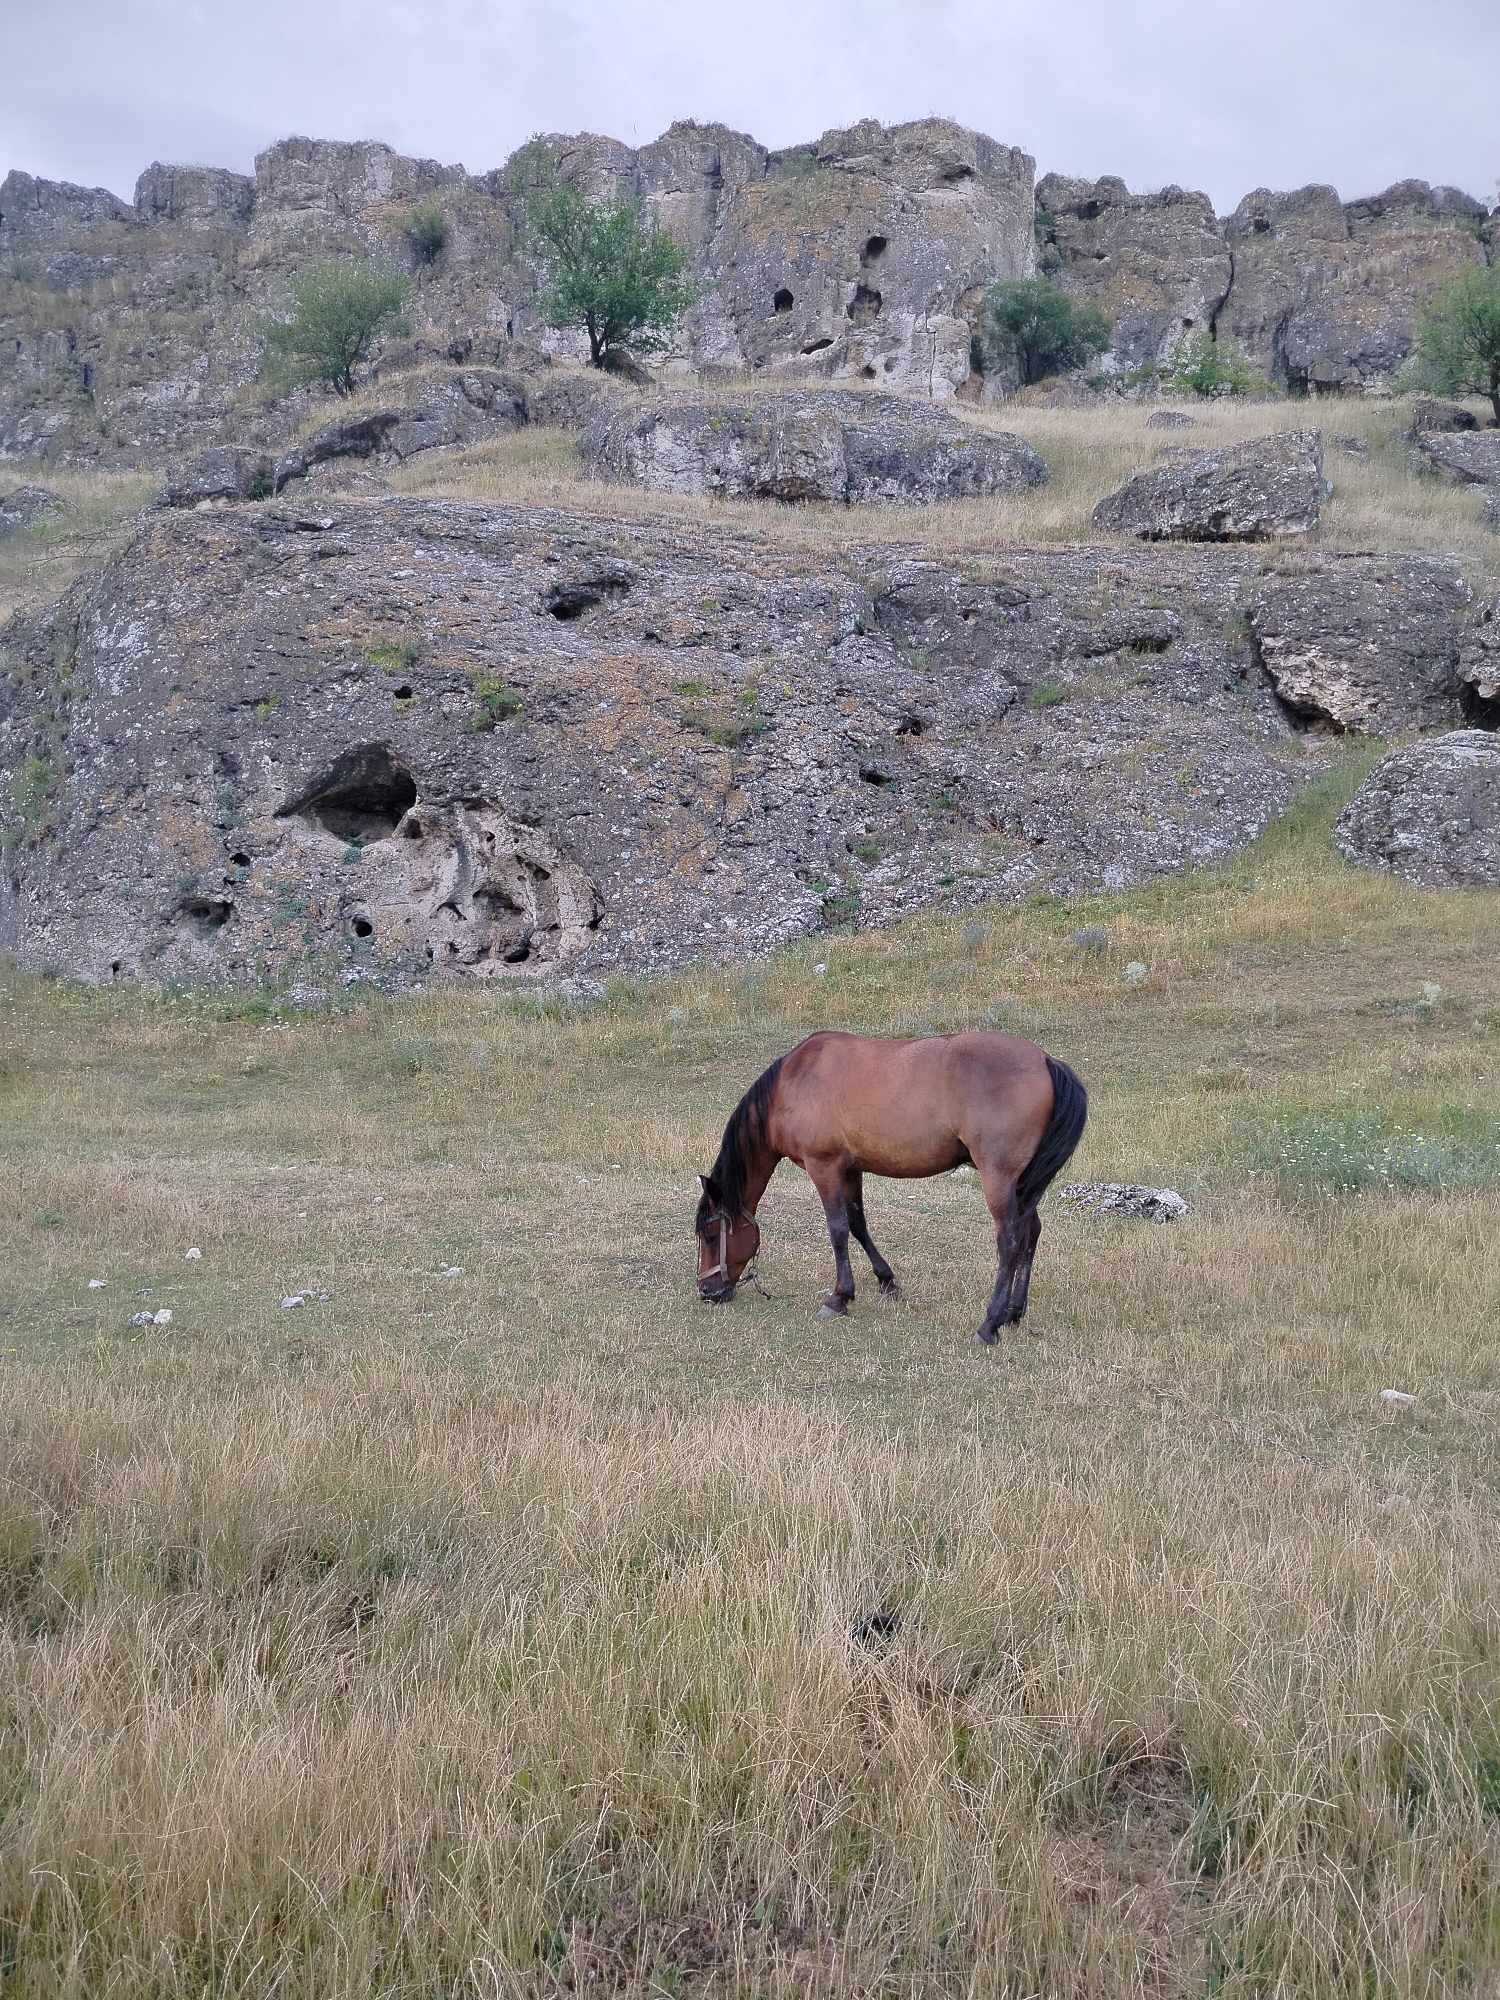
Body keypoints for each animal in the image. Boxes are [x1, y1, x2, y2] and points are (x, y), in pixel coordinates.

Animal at [694, 1030, 1087, 1346]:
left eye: (711, 1236)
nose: (706, 1291)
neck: (793, 1082)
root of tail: (1045, 1061)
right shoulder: (850, 1170)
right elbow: (857, 1225)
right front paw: (886, 1282)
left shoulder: (824, 1167)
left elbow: (837, 1229)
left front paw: (838, 1298)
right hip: (1023, 1183)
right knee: (1030, 1232)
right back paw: (1014, 1312)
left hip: (999, 1177)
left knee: (1010, 1239)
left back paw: (990, 1324)